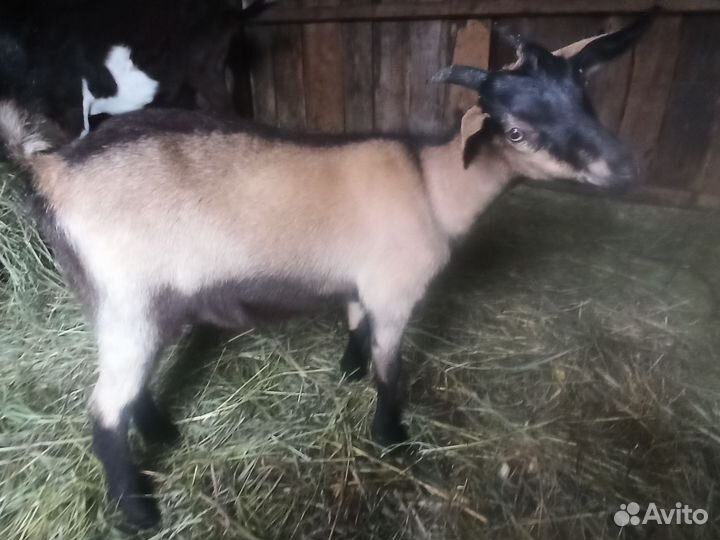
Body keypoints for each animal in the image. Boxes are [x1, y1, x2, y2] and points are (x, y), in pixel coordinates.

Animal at [0, 16, 650, 528]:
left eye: (584, 98)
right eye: (515, 129)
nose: (624, 168)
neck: (433, 185)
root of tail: (55, 169)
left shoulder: (363, 283)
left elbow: (355, 326)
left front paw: (348, 371)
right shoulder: (395, 291)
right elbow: (392, 370)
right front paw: (392, 438)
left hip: (124, 303)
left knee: (129, 386)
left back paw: (162, 434)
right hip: (126, 299)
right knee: (105, 409)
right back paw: (138, 513)